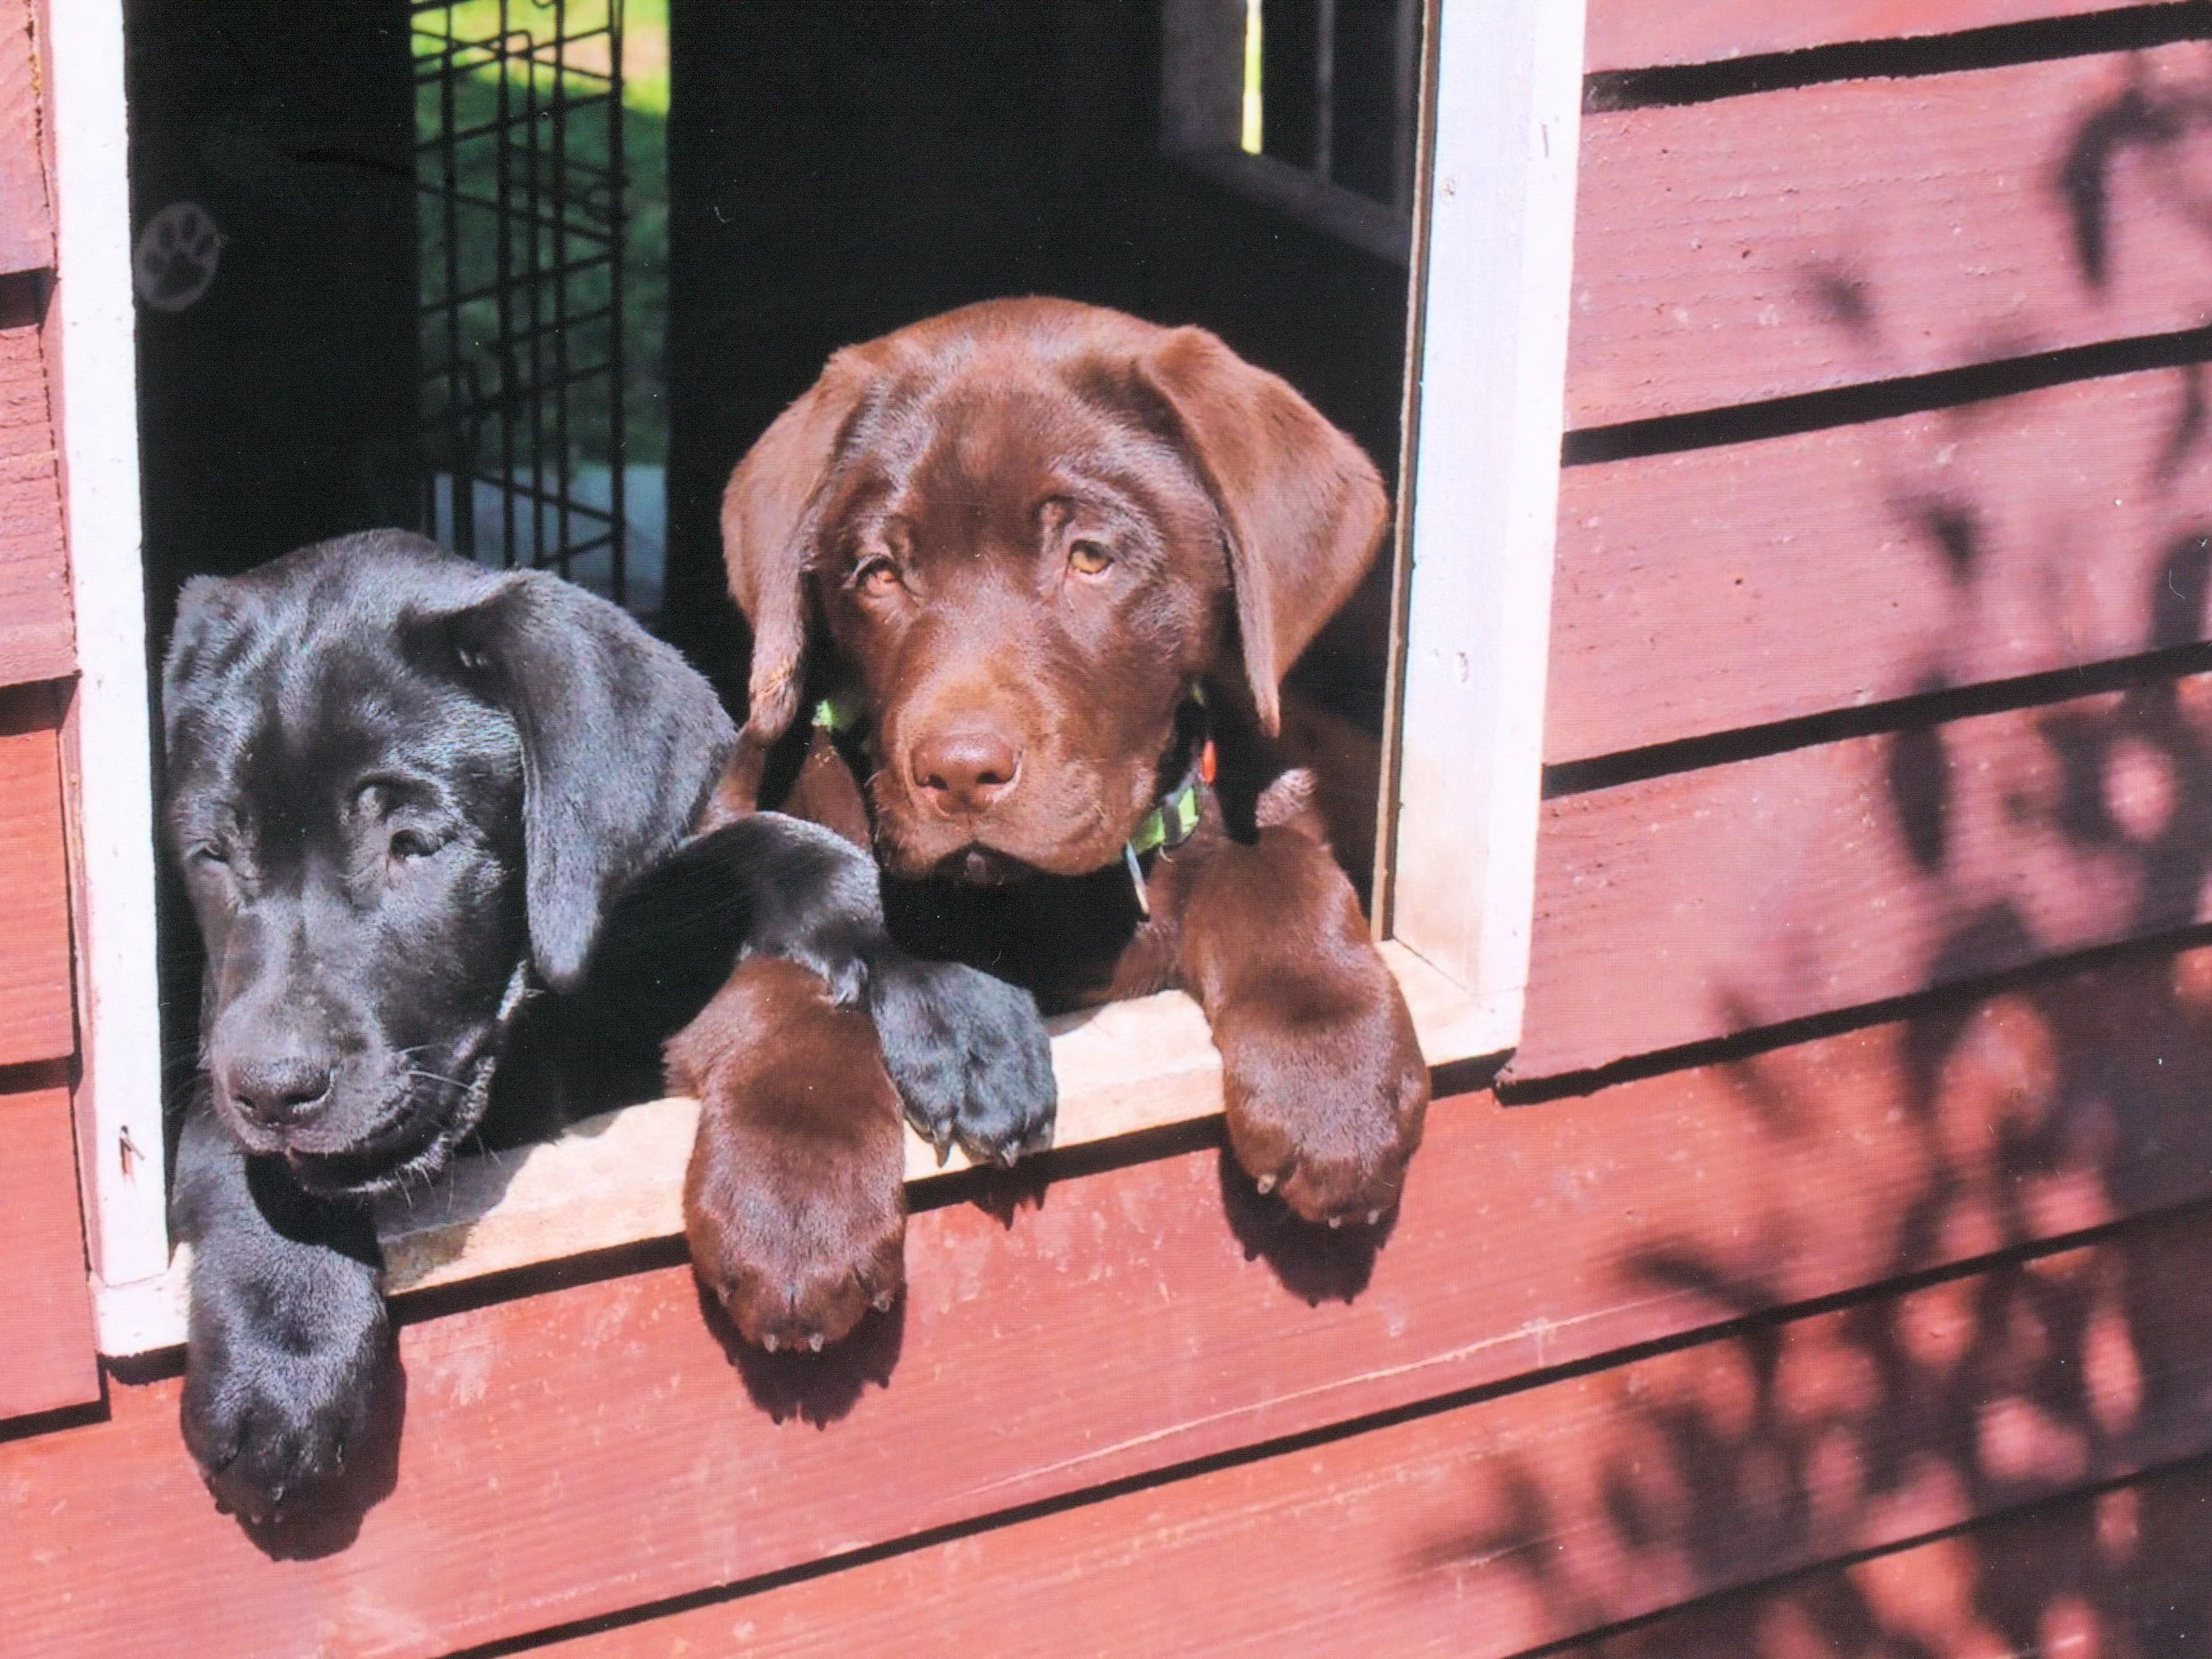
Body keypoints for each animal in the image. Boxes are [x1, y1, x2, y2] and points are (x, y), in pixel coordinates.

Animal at [160, 535, 1048, 1530]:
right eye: (211, 855)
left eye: (414, 844)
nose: (275, 1089)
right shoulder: (217, 1027)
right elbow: (226, 1135)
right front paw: (285, 1335)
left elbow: (768, 844)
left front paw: (956, 989)